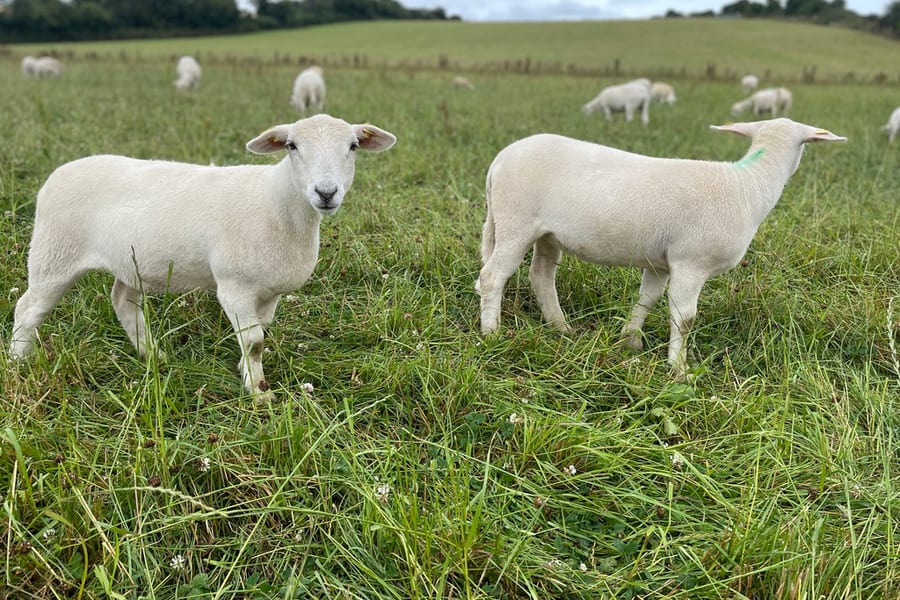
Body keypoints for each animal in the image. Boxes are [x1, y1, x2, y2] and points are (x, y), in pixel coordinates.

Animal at [9, 114, 397, 397]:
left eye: (353, 146)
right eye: (291, 145)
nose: (326, 192)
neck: (277, 203)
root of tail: (57, 174)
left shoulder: (270, 291)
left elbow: (259, 336)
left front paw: (247, 374)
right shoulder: (234, 285)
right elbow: (254, 342)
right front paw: (259, 394)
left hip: (131, 262)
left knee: (123, 301)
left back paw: (152, 355)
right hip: (54, 253)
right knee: (28, 309)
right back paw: (17, 361)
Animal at [477, 118, 846, 377]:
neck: (747, 185)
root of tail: (498, 162)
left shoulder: (661, 263)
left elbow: (647, 299)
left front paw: (631, 341)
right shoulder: (691, 263)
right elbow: (684, 318)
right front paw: (678, 369)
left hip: (547, 234)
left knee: (541, 276)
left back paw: (561, 328)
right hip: (516, 221)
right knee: (493, 276)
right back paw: (492, 333)